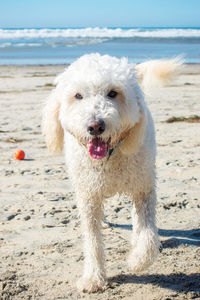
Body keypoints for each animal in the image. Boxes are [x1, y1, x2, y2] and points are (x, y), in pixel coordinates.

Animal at [42, 52, 181, 292]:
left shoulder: (143, 189)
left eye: (113, 93)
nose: (95, 126)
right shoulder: (88, 197)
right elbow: (92, 241)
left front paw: (137, 260)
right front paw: (93, 278)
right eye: (78, 96)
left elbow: (147, 232)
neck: (108, 158)